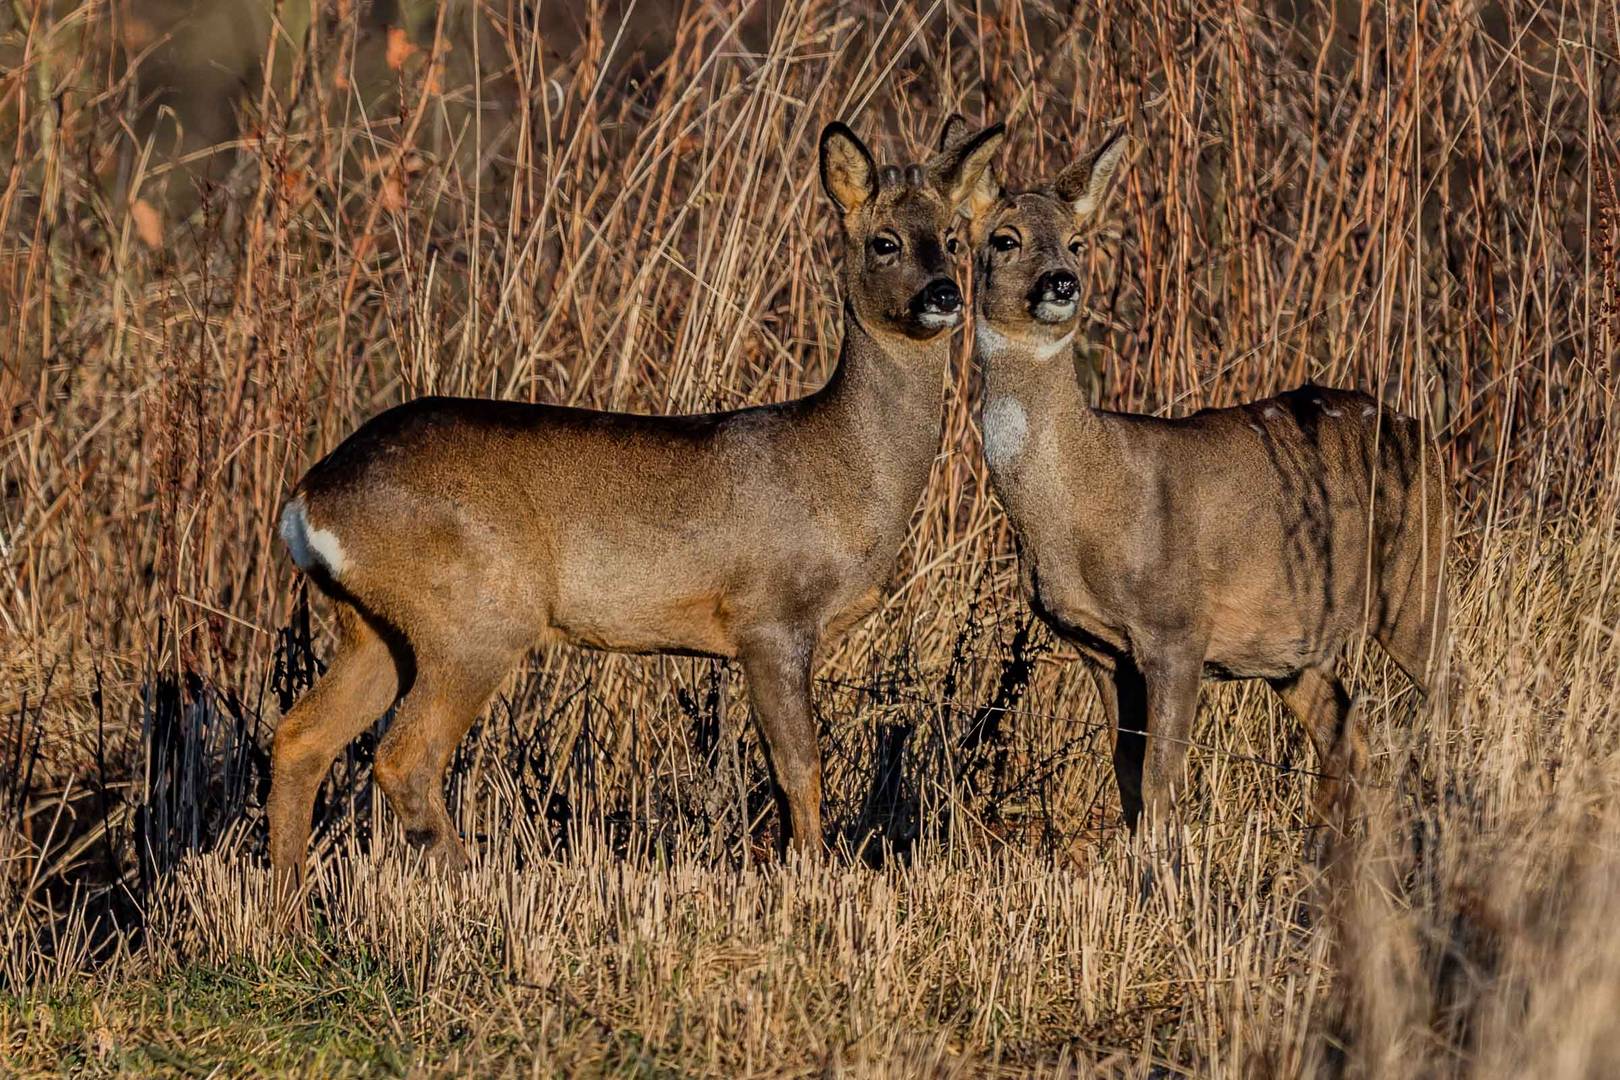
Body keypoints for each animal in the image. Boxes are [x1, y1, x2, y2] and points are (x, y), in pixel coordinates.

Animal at [965, 128, 1451, 835]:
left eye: (1078, 241)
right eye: (1005, 238)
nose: (1062, 281)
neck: (1085, 499)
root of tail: (1426, 439)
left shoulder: (1177, 628)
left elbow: (1161, 784)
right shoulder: (1099, 648)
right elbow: (1129, 784)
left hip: (1414, 581)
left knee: (1458, 689)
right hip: (1290, 645)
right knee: (1348, 735)